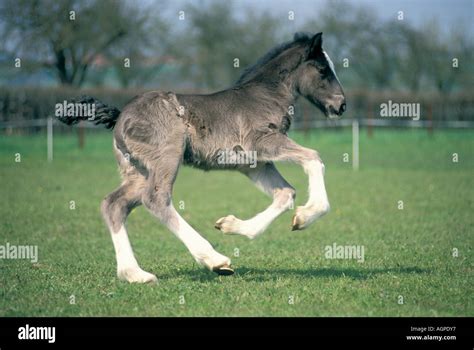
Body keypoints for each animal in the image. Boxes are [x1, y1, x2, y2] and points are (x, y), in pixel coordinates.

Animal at [58, 32, 344, 284]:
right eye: (322, 70)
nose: (341, 105)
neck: (265, 97)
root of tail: (120, 116)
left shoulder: (254, 164)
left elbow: (285, 193)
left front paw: (233, 225)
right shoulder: (263, 143)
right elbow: (313, 158)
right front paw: (309, 213)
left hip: (138, 172)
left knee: (114, 204)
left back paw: (135, 274)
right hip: (166, 158)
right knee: (155, 199)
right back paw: (213, 259)